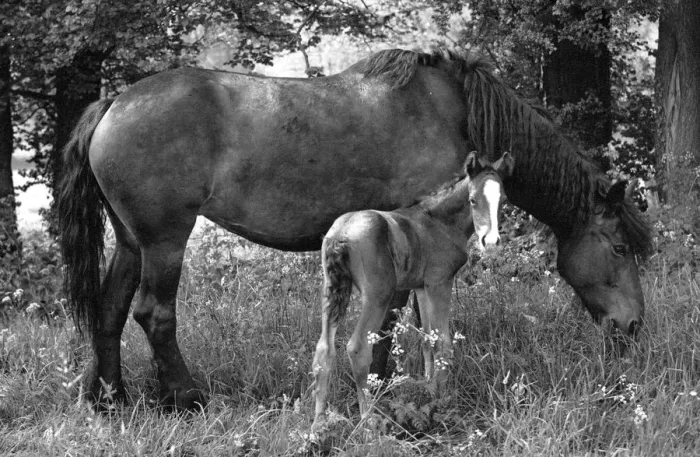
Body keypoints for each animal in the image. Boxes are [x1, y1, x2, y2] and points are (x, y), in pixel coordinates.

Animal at [310, 151, 513, 430]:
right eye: (473, 200)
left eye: (503, 200)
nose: (491, 242)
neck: (439, 221)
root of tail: (341, 233)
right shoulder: (440, 281)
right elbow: (443, 342)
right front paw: (442, 399)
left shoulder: (421, 286)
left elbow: (427, 338)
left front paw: (427, 389)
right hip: (378, 295)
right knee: (357, 347)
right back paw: (368, 420)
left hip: (332, 288)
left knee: (323, 349)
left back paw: (317, 426)